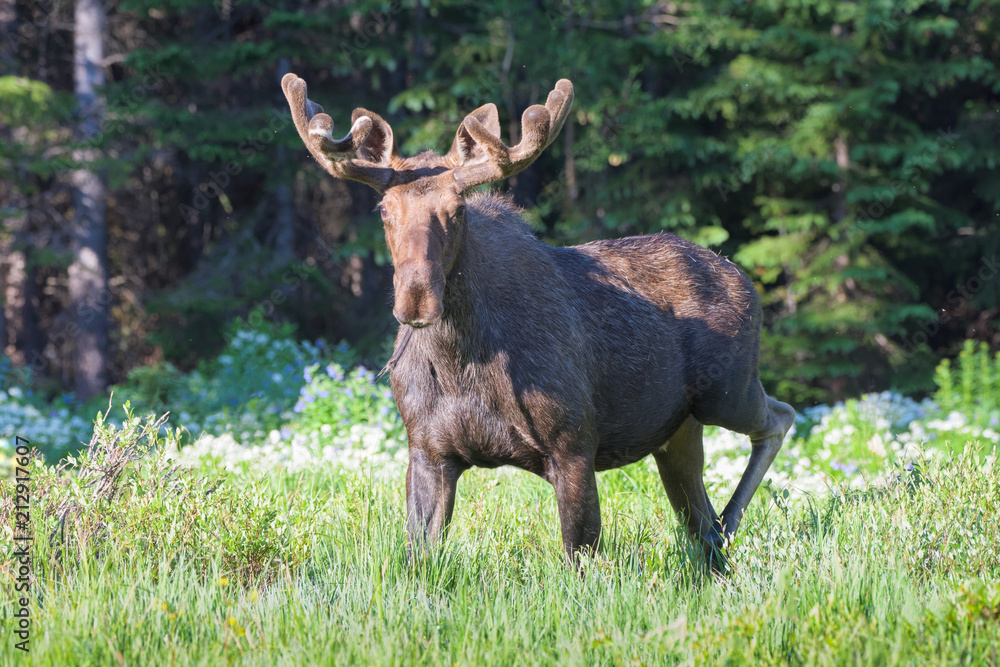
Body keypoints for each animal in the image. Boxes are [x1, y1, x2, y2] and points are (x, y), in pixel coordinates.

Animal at [280, 72, 795, 571]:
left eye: (458, 209)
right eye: (385, 210)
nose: (416, 299)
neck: (460, 361)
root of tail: (743, 278)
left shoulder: (573, 445)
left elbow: (578, 559)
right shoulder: (428, 450)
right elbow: (419, 560)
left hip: (726, 390)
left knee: (779, 418)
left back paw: (732, 522)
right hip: (678, 433)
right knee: (700, 517)